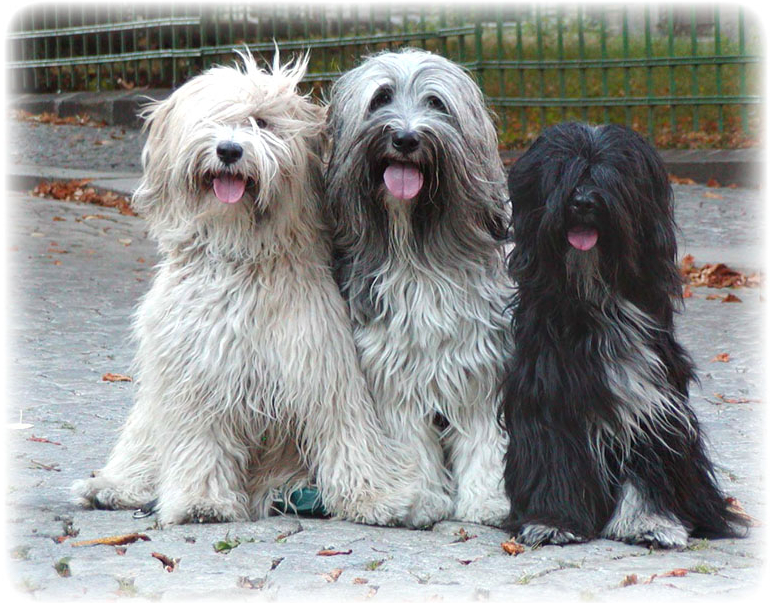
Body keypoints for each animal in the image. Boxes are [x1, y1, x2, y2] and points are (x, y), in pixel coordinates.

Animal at [73, 53, 438, 528]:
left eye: (261, 123)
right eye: (212, 119)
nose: (229, 150)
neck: (241, 255)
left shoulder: (321, 366)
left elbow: (346, 431)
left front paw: (377, 498)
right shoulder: (197, 374)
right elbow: (200, 441)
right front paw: (202, 501)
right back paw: (114, 485)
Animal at [322, 49, 510, 528]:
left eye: (436, 103)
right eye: (381, 98)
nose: (405, 138)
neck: (417, 250)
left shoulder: (481, 361)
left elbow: (484, 433)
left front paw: (489, 500)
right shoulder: (391, 369)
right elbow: (408, 439)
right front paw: (420, 498)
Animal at [500, 121, 748, 548]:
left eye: (611, 175)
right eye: (563, 172)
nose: (583, 202)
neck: (595, 298)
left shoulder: (648, 398)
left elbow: (645, 466)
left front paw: (649, 522)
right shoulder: (546, 397)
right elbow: (554, 458)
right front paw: (553, 520)